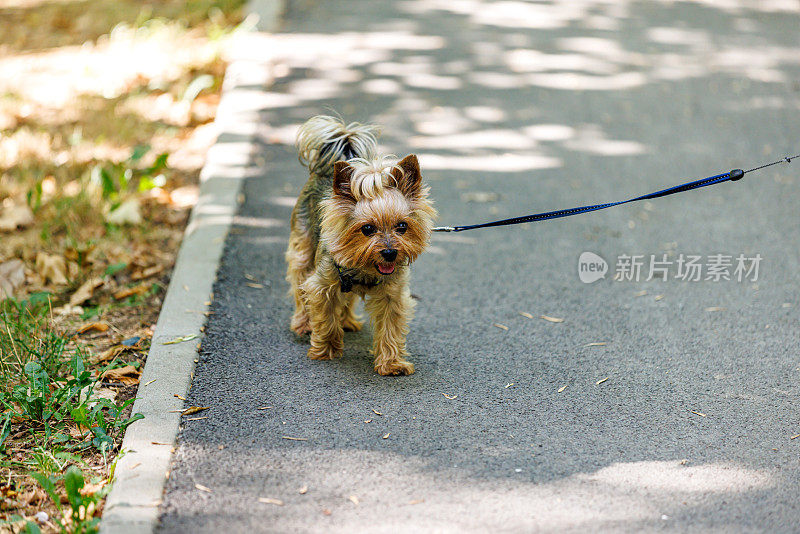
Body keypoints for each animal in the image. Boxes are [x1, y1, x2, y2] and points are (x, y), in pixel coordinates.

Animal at [286, 117, 438, 376]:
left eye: (402, 226)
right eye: (367, 229)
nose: (390, 253)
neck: (365, 269)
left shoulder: (392, 295)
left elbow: (390, 328)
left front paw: (391, 363)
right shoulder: (322, 285)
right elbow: (325, 317)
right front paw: (326, 350)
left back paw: (347, 321)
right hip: (303, 249)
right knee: (300, 284)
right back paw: (303, 323)